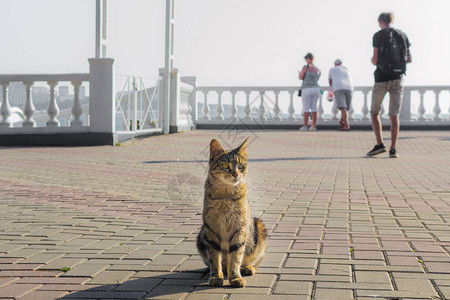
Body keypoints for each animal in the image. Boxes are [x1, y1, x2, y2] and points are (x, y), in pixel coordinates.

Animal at [197, 138, 268, 288]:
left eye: (241, 165)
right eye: (225, 165)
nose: (236, 174)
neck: (226, 195)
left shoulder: (239, 228)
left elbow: (235, 257)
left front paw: (235, 277)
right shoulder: (211, 229)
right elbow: (214, 258)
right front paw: (215, 276)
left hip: (259, 229)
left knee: (253, 261)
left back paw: (247, 268)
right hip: (201, 234)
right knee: (220, 265)